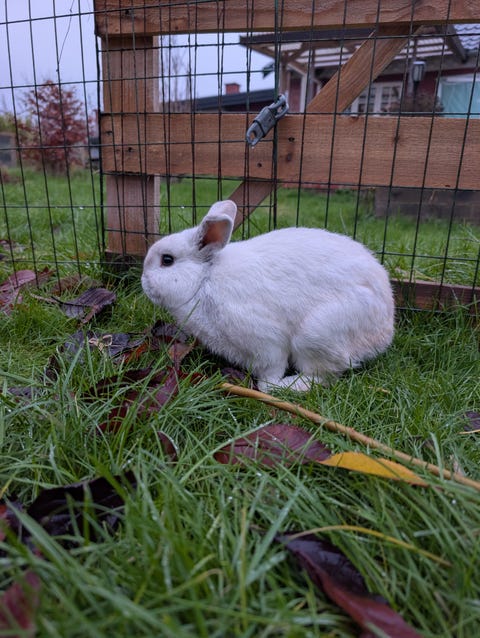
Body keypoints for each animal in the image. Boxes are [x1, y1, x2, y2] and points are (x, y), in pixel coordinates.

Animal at [141, 200, 394, 392]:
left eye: (167, 260)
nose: (144, 281)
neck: (204, 279)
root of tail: (385, 331)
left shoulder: (265, 341)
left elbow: (271, 369)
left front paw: (267, 385)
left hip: (316, 334)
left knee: (323, 374)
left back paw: (288, 386)